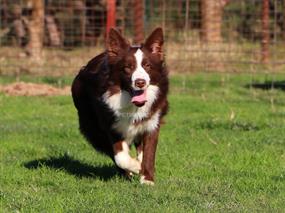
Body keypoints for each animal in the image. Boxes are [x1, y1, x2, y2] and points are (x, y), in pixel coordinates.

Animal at [71, 27, 169, 185]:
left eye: (147, 66)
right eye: (127, 67)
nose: (140, 82)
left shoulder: (152, 121)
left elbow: (148, 151)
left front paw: (147, 179)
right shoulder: (110, 124)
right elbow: (120, 157)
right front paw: (135, 167)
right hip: (91, 126)